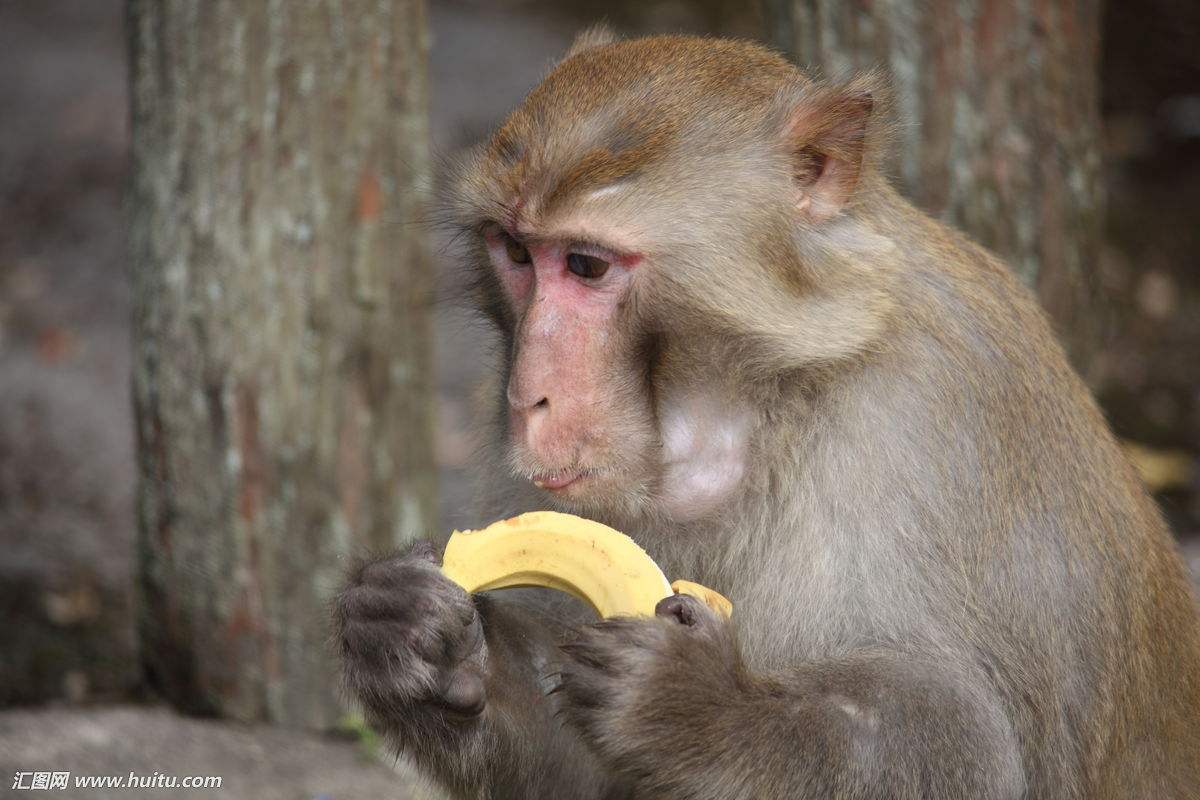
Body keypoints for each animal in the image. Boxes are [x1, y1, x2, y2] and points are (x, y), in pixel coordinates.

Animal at [333, 28, 1200, 796]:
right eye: (515, 252)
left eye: (585, 265)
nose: (525, 397)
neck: (753, 406)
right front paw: (418, 636)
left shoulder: (934, 415)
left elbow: (971, 738)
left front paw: (702, 710)